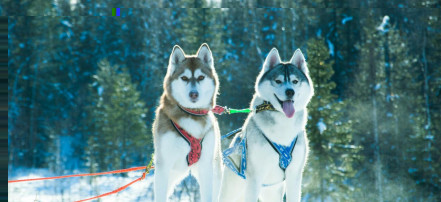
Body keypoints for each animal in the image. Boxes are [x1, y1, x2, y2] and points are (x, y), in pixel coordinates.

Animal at [153, 43, 222, 201]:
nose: (193, 94)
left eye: (201, 77)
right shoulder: (163, 165)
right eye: (184, 78)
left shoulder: (206, 166)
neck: (191, 113)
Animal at [218, 48, 312, 201]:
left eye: (295, 81)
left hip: (272, 190)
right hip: (233, 189)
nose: (290, 91)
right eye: (278, 81)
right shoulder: (255, 177)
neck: (283, 123)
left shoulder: (294, 175)